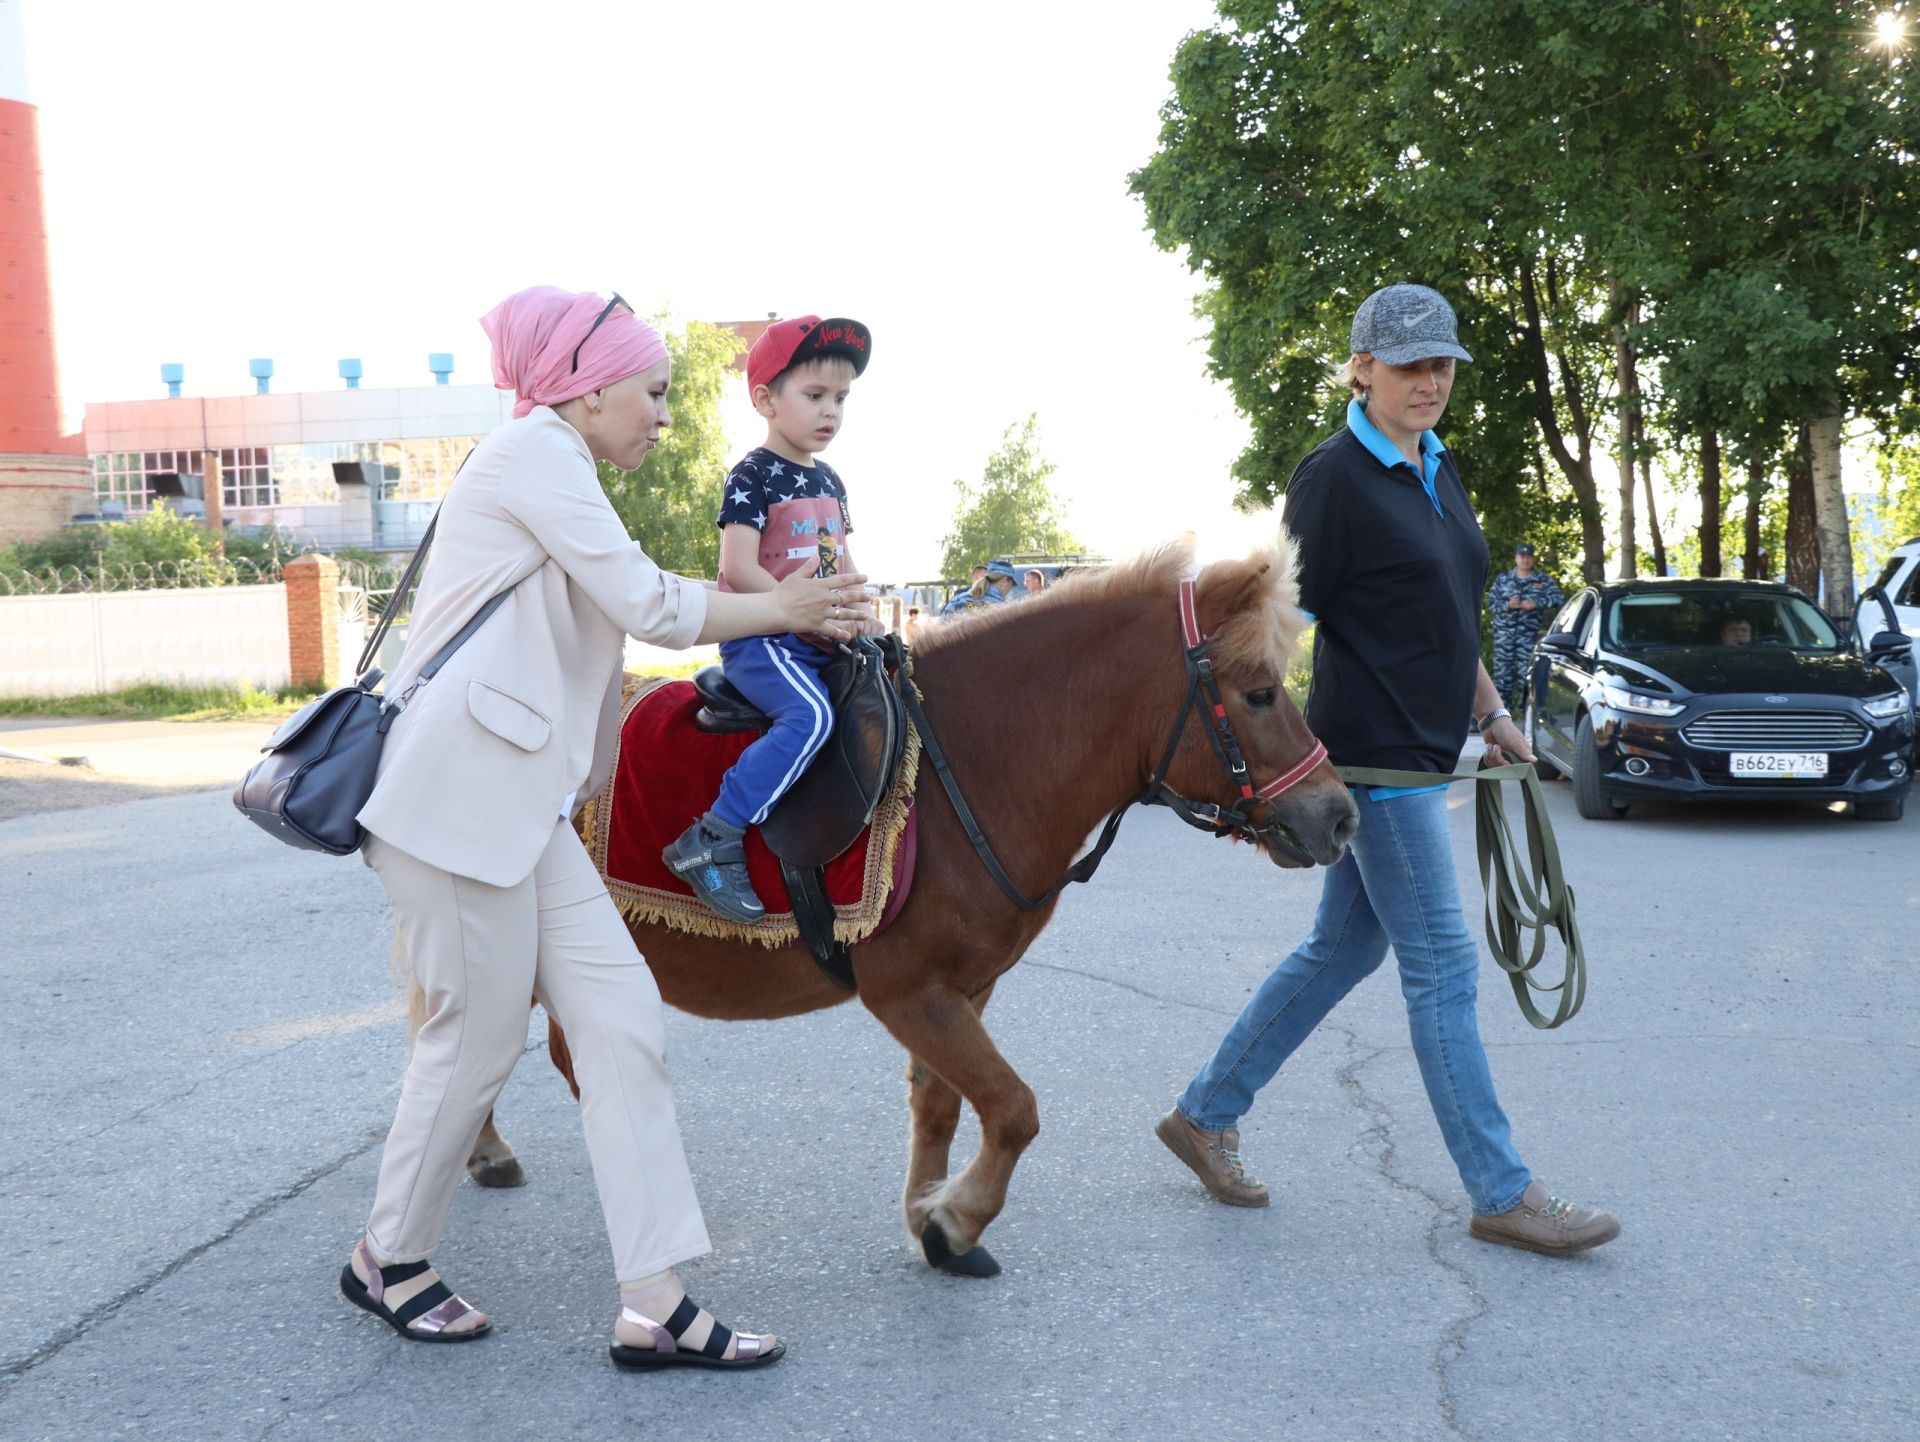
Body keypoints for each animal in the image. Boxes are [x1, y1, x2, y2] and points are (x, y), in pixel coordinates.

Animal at [435, 533, 1367, 1274]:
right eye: (1258, 691)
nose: (1340, 814)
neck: (974, 766)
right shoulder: (907, 991)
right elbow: (1015, 1110)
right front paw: (956, 1218)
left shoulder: (965, 989)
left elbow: (947, 1105)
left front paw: (932, 1220)